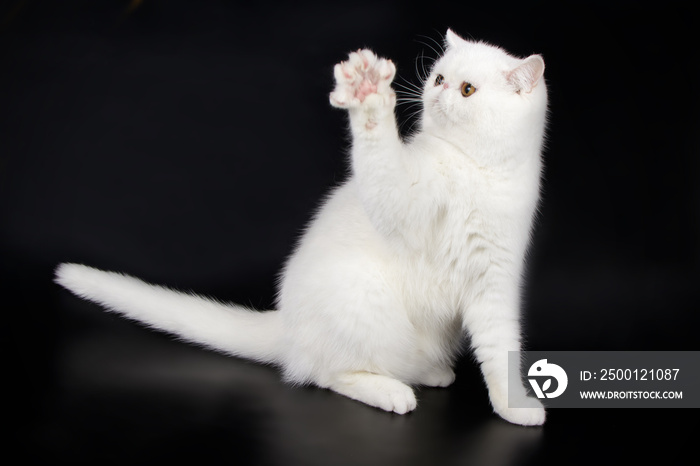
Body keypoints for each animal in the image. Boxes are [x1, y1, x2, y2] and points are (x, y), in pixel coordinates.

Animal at [54, 29, 548, 426]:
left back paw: (431, 372)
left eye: (467, 89)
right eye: (439, 79)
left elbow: (500, 352)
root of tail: (288, 326)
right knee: (327, 373)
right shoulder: (402, 198)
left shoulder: (495, 284)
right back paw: (389, 391)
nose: (437, 93)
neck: (477, 170)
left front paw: (514, 408)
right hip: (364, 297)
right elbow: (380, 160)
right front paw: (369, 96)